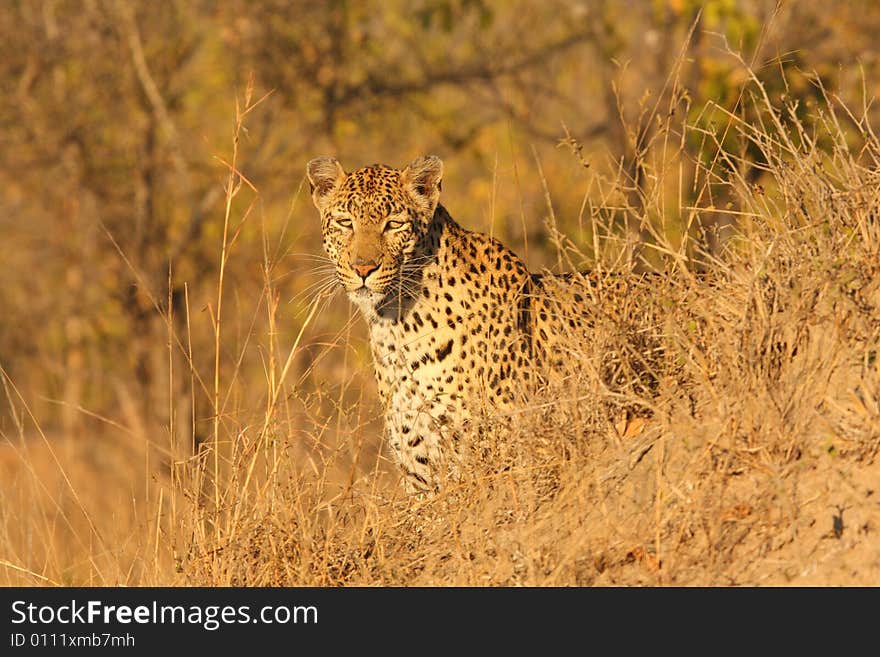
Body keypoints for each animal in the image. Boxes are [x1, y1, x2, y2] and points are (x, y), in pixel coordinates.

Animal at [306, 155, 656, 492]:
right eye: (345, 222)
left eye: (394, 224)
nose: (363, 268)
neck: (395, 325)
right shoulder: (419, 467)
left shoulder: (503, 452)